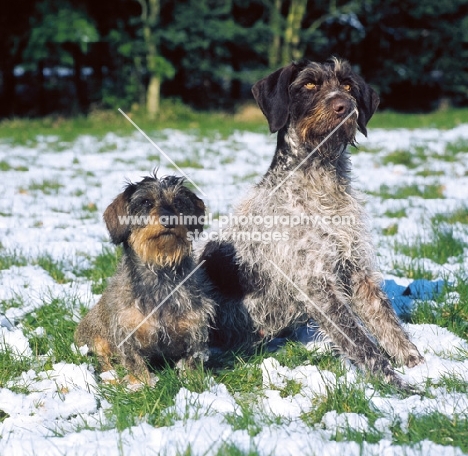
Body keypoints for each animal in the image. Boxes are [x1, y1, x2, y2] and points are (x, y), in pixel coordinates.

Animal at [76, 173, 215, 382]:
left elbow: (192, 360)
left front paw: (193, 381)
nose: (169, 219)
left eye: (179, 202)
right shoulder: (126, 331)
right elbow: (134, 362)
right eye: (146, 202)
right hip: (94, 340)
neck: (160, 275)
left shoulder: (194, 328)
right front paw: (141, 384)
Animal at [199, 58, 426, 388]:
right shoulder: (316, 285)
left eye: (347, 85)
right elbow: (362, 343)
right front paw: (396, 384)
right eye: (308, 84)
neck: (320, 181)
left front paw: (418, 365)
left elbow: (387, 323)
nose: (345, 106)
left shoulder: (356, 270)